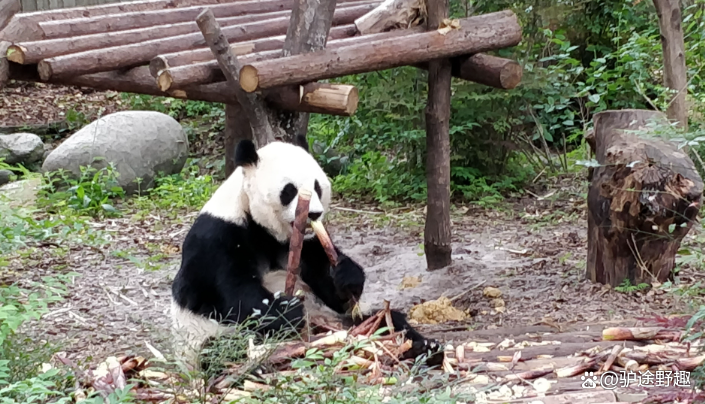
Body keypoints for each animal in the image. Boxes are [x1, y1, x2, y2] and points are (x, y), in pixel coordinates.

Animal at [168, 137, 440, 368]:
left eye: (317, 187)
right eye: (289, 190)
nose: (314, 214)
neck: (266, 231)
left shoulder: (309, 243)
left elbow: (331, 289)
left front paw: (345, 276)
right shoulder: (218, 236)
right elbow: (230, 295)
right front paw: (287, 310)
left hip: (340, 320)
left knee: (386, 319)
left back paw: (424, 348)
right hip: (207, 339)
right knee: (220, 349)